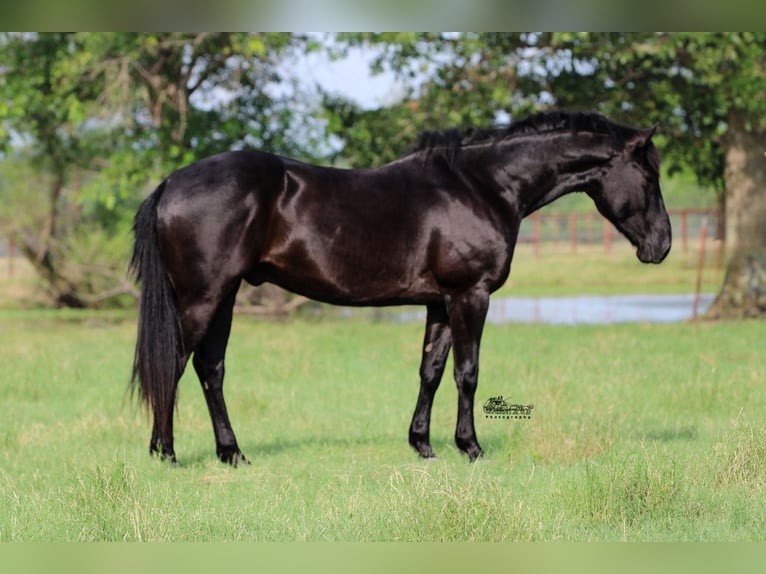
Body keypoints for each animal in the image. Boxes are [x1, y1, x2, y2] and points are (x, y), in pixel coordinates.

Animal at [130, 110, 672, 466]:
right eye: (649, 175)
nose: (662, 246)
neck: (483, 186)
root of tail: (171, 182)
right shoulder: (469, 295)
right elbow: (468, 374)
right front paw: (471, 448)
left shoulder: (440, 302)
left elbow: (430, 371)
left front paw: (424, 446)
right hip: (203, 297)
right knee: (173, 363)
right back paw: (165, 453)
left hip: (225, 295)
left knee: (210, 369)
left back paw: (231, 453)